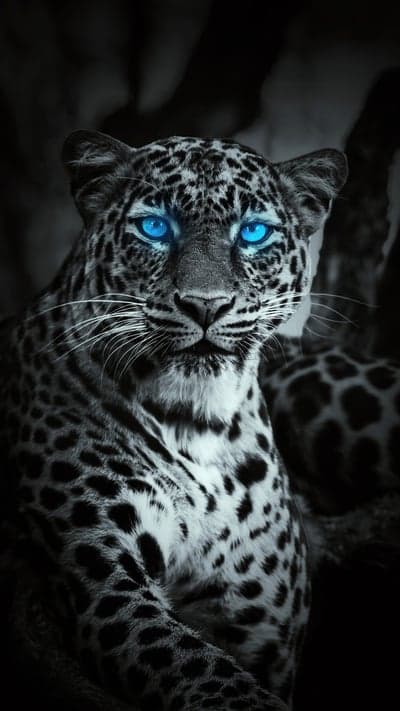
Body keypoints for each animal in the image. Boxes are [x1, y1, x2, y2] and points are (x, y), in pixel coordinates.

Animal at [0, 129, 347, 710]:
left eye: (253, 232)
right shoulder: (107, 589)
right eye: (155, 227)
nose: (205, 305)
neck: (198, 422)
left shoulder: (261, 630)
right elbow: (211, 677)